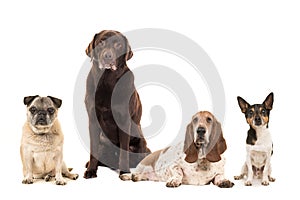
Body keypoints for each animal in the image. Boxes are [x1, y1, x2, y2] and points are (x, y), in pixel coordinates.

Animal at [84, 28, 150, 179]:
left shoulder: (124, 120)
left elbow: (124, 150)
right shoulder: (92, 120)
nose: (107, 56)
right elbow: (93, 150)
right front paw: (91, 170)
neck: (106, 80)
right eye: (101, 42)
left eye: (118, 45)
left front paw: (124, 171)